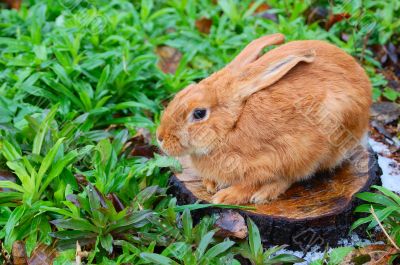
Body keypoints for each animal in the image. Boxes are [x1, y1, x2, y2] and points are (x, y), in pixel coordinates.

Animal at [156, 33, 372, 204]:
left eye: (199, 113)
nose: (160, 137)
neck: (231, 127)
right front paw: (210, 184)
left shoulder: (277, 159)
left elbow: (258, 181)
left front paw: (227, 196)